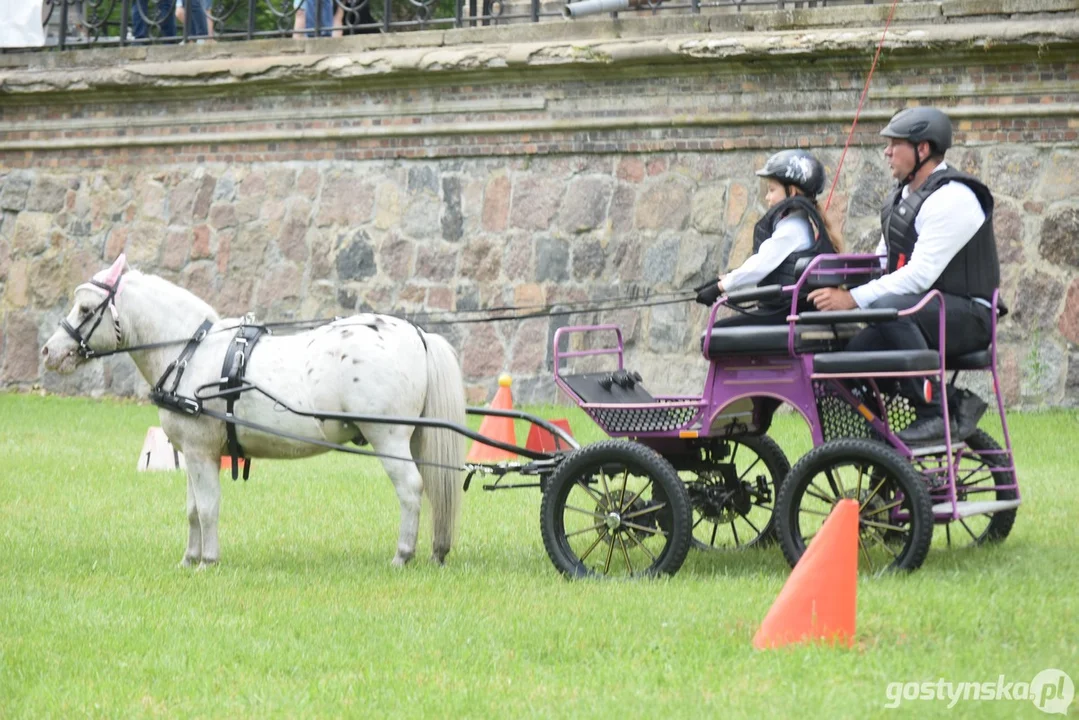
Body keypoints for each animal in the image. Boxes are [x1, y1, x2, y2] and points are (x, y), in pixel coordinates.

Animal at [42, 255, 466, 569]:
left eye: (85, 308)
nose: (48, 351)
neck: (191, 352)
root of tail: (415, 333)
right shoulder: (196, 453)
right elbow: (192, 509)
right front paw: (189, 559)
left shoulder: (199, 451)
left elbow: (208, 508)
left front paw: (208, 561)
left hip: (388, 437)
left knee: (411, 488)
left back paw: (402, 556)